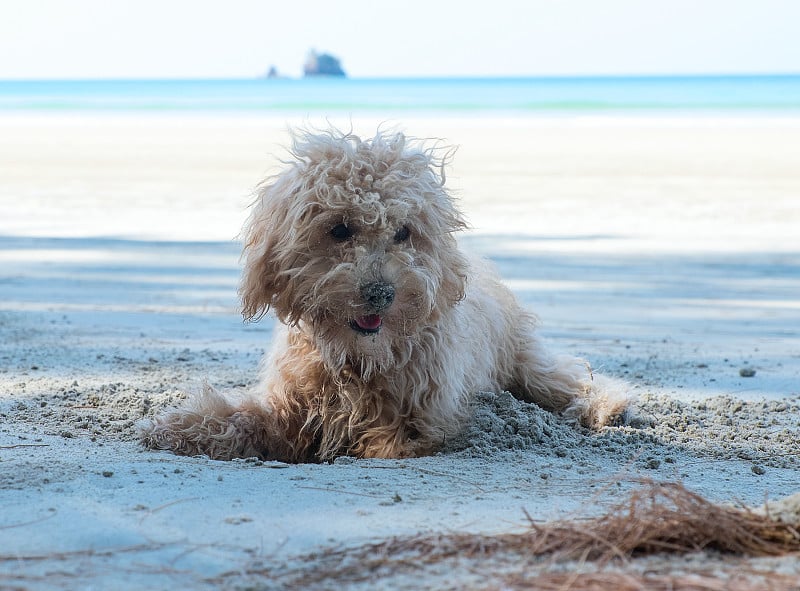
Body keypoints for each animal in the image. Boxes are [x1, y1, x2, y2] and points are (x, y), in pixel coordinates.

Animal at [142, 128, 632, 462]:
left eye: (404, 232)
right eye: (339, 229)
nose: (380, 292)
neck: (360, 357)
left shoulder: (421, 422)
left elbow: (389, 441)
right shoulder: (288, 409)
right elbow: (242, 419)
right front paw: (179, 427)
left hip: (522, 361)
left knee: (568, 379)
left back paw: (608, 407)